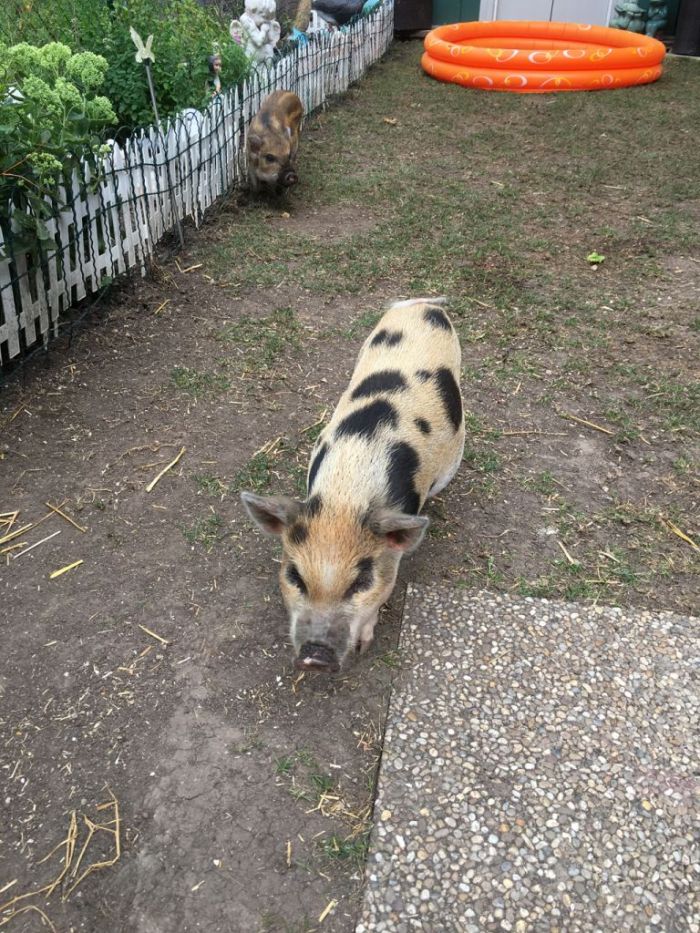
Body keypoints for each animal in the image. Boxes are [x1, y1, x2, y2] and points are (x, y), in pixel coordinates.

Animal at [241, 296, 464, 668]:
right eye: (295, 576)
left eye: (361, 582)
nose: (316, 655)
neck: (345, 496)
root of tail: (424, 303)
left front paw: (363, 646)